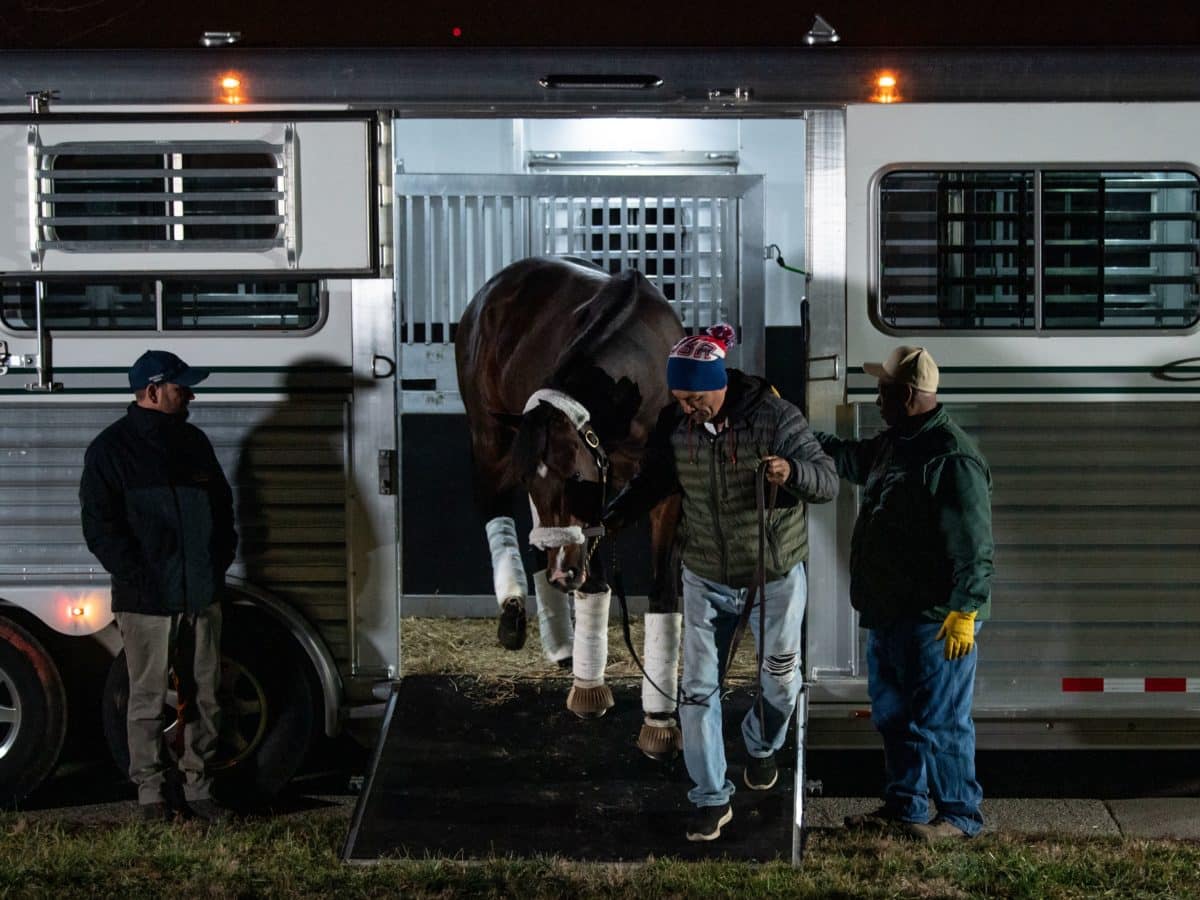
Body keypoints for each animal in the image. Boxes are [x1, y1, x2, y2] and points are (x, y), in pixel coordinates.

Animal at [453, 256, 686, 758]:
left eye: (578, 478)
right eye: (530, 478)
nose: (563, 576)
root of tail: (493, 288)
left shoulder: (662, 494)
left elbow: (663, 592)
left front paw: (660, 721)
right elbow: (594, 583)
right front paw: (589, 689)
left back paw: (561, 642)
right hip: (489, 436)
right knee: (495, 508)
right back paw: (515, 613)